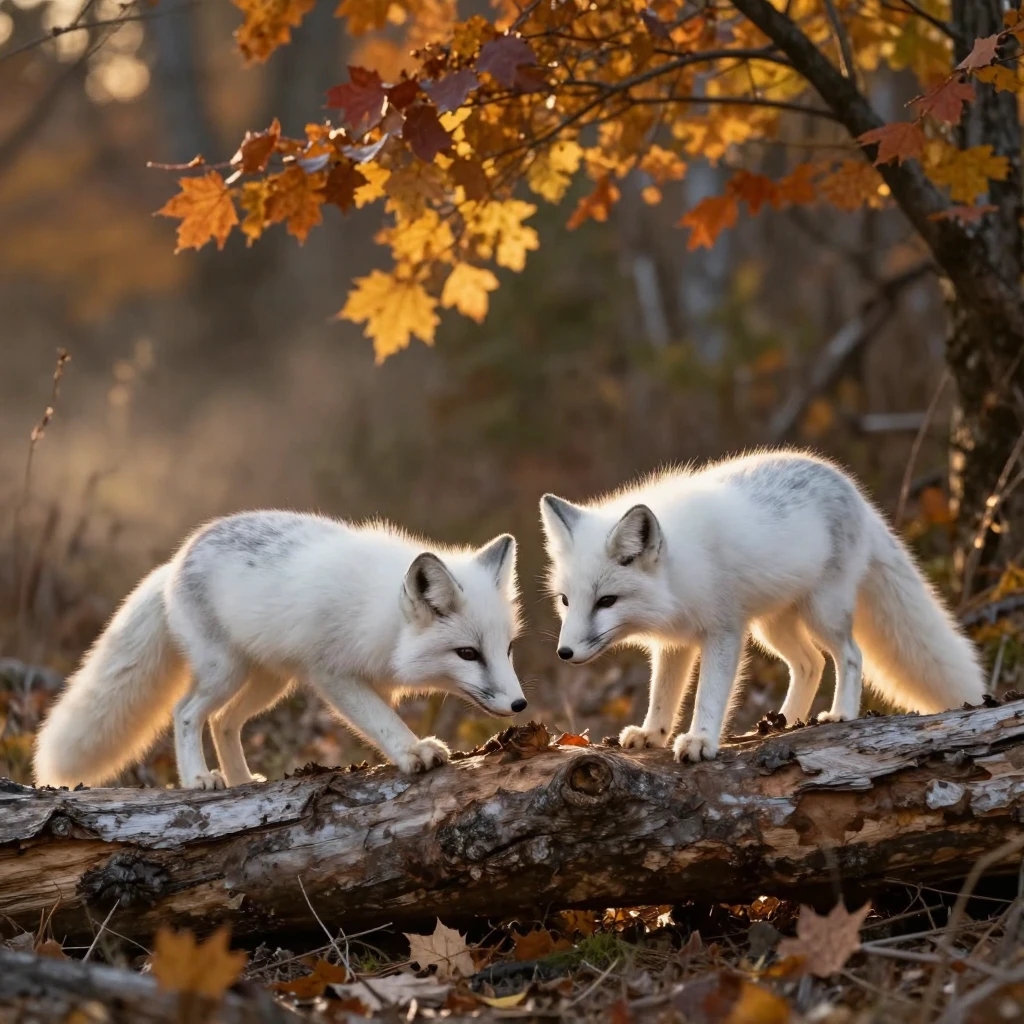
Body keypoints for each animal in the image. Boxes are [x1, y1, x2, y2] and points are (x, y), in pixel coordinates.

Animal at [33, 510, 526, 790]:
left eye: (507, 649)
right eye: (467, 654)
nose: (520, 704)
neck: (382, 617)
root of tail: (173, 563)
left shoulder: (375, 683)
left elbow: (382, 722)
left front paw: (403, 751)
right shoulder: (334, 675)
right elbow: (383, 722)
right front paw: (413, 753)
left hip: (270, 683)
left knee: (222, 721)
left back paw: (239, 780)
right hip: (226, 672)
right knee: (187, 713)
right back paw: (198, 779)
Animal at [540, 450, 985, 762]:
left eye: (606, 601)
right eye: (566, 601)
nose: (564, 653)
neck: (682, 569)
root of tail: (854, 491)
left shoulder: (725, 631)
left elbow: (710, 694)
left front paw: (701, 740)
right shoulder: (675, 643)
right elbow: (662, 696)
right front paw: (652, 735)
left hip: (821, 613)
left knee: (849, 655)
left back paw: (841, 713)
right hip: (773, 628)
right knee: (810, 664)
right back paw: (783, 723)